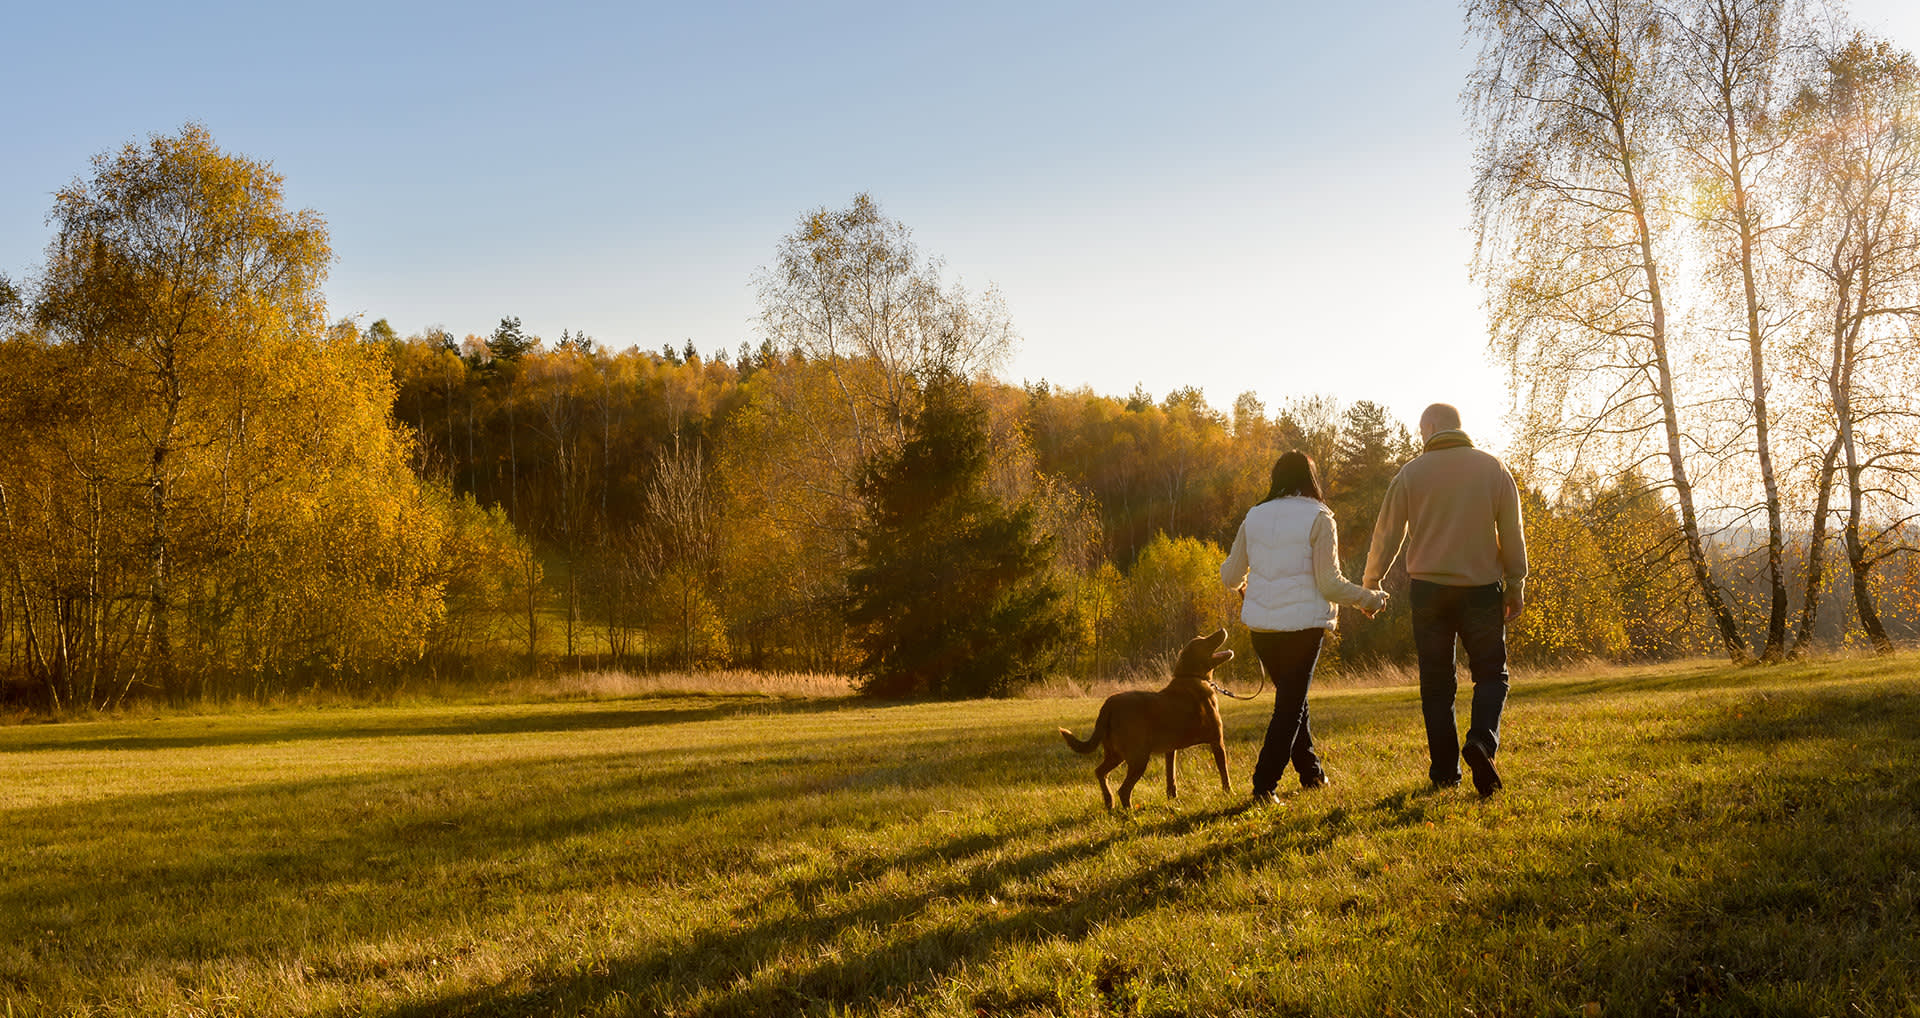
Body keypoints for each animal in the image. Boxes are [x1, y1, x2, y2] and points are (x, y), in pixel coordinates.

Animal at [1059, 626, 1236, 806]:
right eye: (1204, 641)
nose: (1222, 629)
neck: (1193, 677)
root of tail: (1110, 703)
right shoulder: (1217, 740)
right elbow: (1224, 773)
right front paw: (1229, 793)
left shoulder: (1170, 749)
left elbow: (1170, 776)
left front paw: (1172, 798)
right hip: (1139, 757)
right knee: (1123, 789)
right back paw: (1129, 810)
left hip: (1116, 754)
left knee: (1100, 772)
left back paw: (1109, 802)